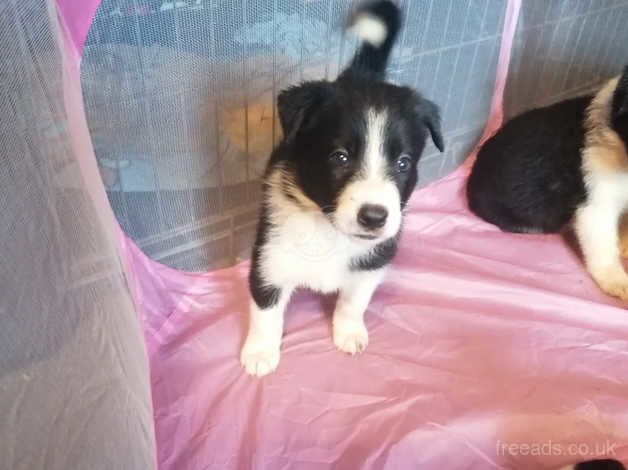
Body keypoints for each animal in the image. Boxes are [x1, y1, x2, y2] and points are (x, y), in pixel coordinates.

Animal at [238, 0, 444, 374]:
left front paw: (349, 333)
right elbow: (265, 308)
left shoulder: (373, 260)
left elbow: (354, 301)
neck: (329, 229)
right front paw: (260, 353)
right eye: (340, 157)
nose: (374, 217)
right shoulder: (270, 255)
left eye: (403, 163)